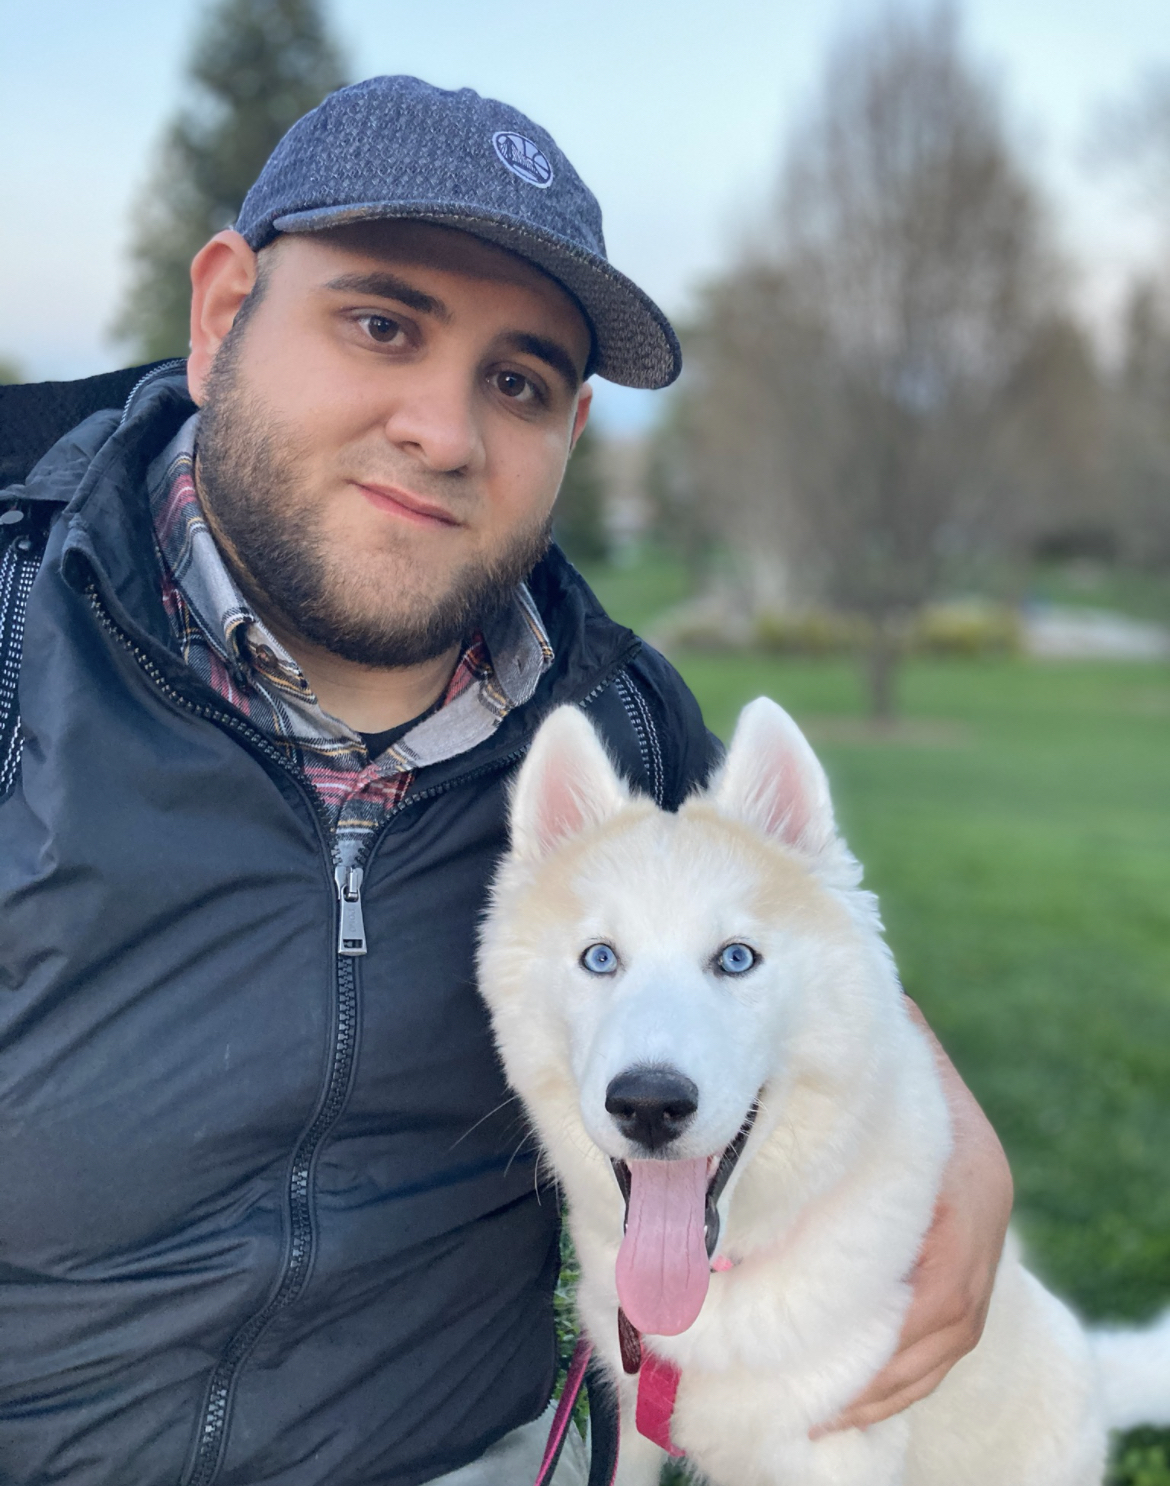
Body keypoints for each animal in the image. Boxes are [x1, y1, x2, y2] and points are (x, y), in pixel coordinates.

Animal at [477, 697, 1170, 1486]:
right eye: (600, 959)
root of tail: (1100, 1377)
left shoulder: (836, 1453)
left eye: (736, 959)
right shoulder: (632, 1427)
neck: (721, 1282)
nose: (649, 1105)